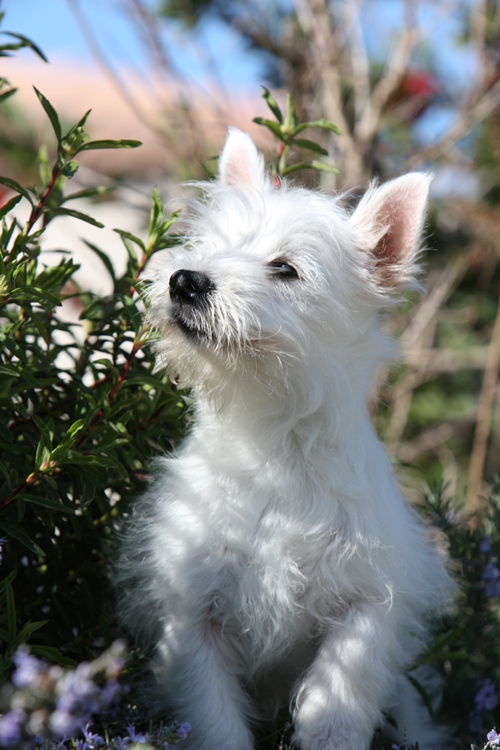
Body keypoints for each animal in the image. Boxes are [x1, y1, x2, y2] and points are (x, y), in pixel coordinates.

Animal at [116, 128, 453, 750]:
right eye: (209, 246)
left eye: (285, 269)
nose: (186, 279)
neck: (274, 441)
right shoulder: (195, 618)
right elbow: (216, 722)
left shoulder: (367, 605)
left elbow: (337, 705)